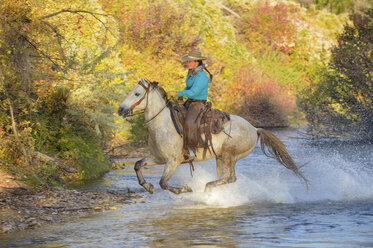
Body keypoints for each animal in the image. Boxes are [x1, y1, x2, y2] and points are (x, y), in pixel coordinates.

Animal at [117, 78, 306, 195]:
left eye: (137, 94)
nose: (120, 109)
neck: (162, 125)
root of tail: (254, 128)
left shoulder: (173, 161)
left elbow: (163, 183)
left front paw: (185, 189)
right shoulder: (157, 158)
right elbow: (137, 165)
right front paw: (148, 187)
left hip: (230, 156)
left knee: (230, 177)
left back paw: (207, 189)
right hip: (220, 157)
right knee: (226, 178)